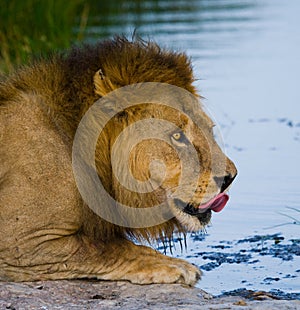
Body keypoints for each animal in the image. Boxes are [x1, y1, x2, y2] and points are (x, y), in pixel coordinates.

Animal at [0, 37, 237, 286]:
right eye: (177, 136)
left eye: (209, 129)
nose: (230, 177)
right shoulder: (22, 242)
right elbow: (105, 247)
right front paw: (174, 265)